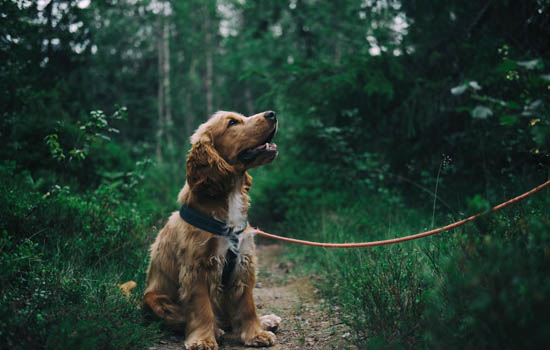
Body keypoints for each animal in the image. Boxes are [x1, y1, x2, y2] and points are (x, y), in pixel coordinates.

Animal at [144, 110, 282, 348]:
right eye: (233, 122)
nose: (272, 113)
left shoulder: (244, 262)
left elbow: (247, 305)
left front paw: (256, 333)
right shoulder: (197, 267)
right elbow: (201, 309)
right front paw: (203, 340)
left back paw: (266, 320)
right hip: (156, 301)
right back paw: (217, 330)